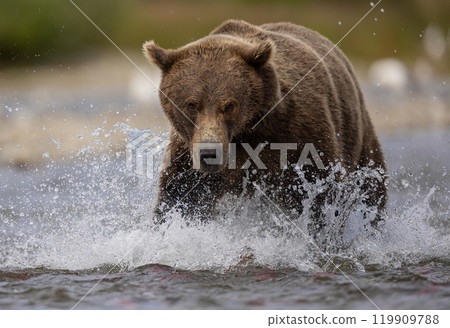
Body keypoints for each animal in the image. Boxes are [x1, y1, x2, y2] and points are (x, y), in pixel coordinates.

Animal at [144, 19, 386, 236]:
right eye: (192, 105)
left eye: (229, 105)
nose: (209, 153)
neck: (246, 134)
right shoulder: (187, 155)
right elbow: (181, 198)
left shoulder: (299, 135)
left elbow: (322, 191)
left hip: (359, 134)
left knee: (373, 188)